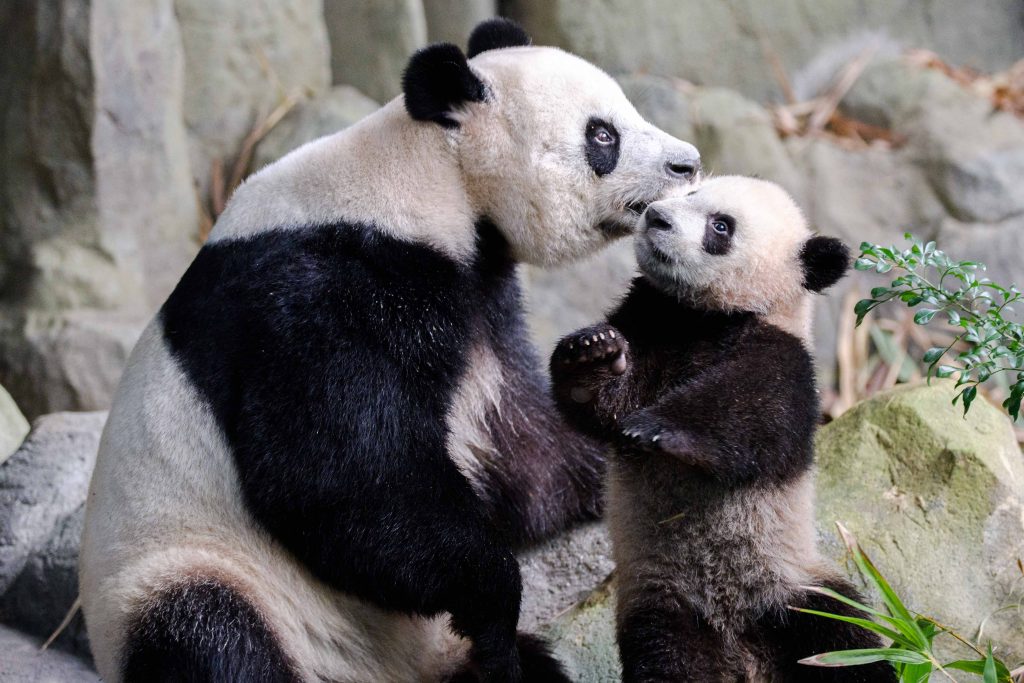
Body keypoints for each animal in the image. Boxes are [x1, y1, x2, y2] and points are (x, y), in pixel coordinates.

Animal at [78, 18, 701, 683]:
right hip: (194, 572)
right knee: (214, 637)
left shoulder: (478, 299)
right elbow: (342, 476)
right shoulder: (317, 295)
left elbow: (522, 440)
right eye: (602, 135)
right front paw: (493, 598)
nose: (688, 164)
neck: (426, 177)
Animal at [549, 176, 896, 682]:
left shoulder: (782, 353)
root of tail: (741, 649)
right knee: (667, 660)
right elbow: (602, 407)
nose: (657, 217)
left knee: (848, 645)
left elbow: (752, 413)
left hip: (798, 587)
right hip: (663, 604)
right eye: (690, 193)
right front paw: (591, 351)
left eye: (721, 227)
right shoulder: (651, 324)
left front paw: (658, 430)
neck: (699, 317)